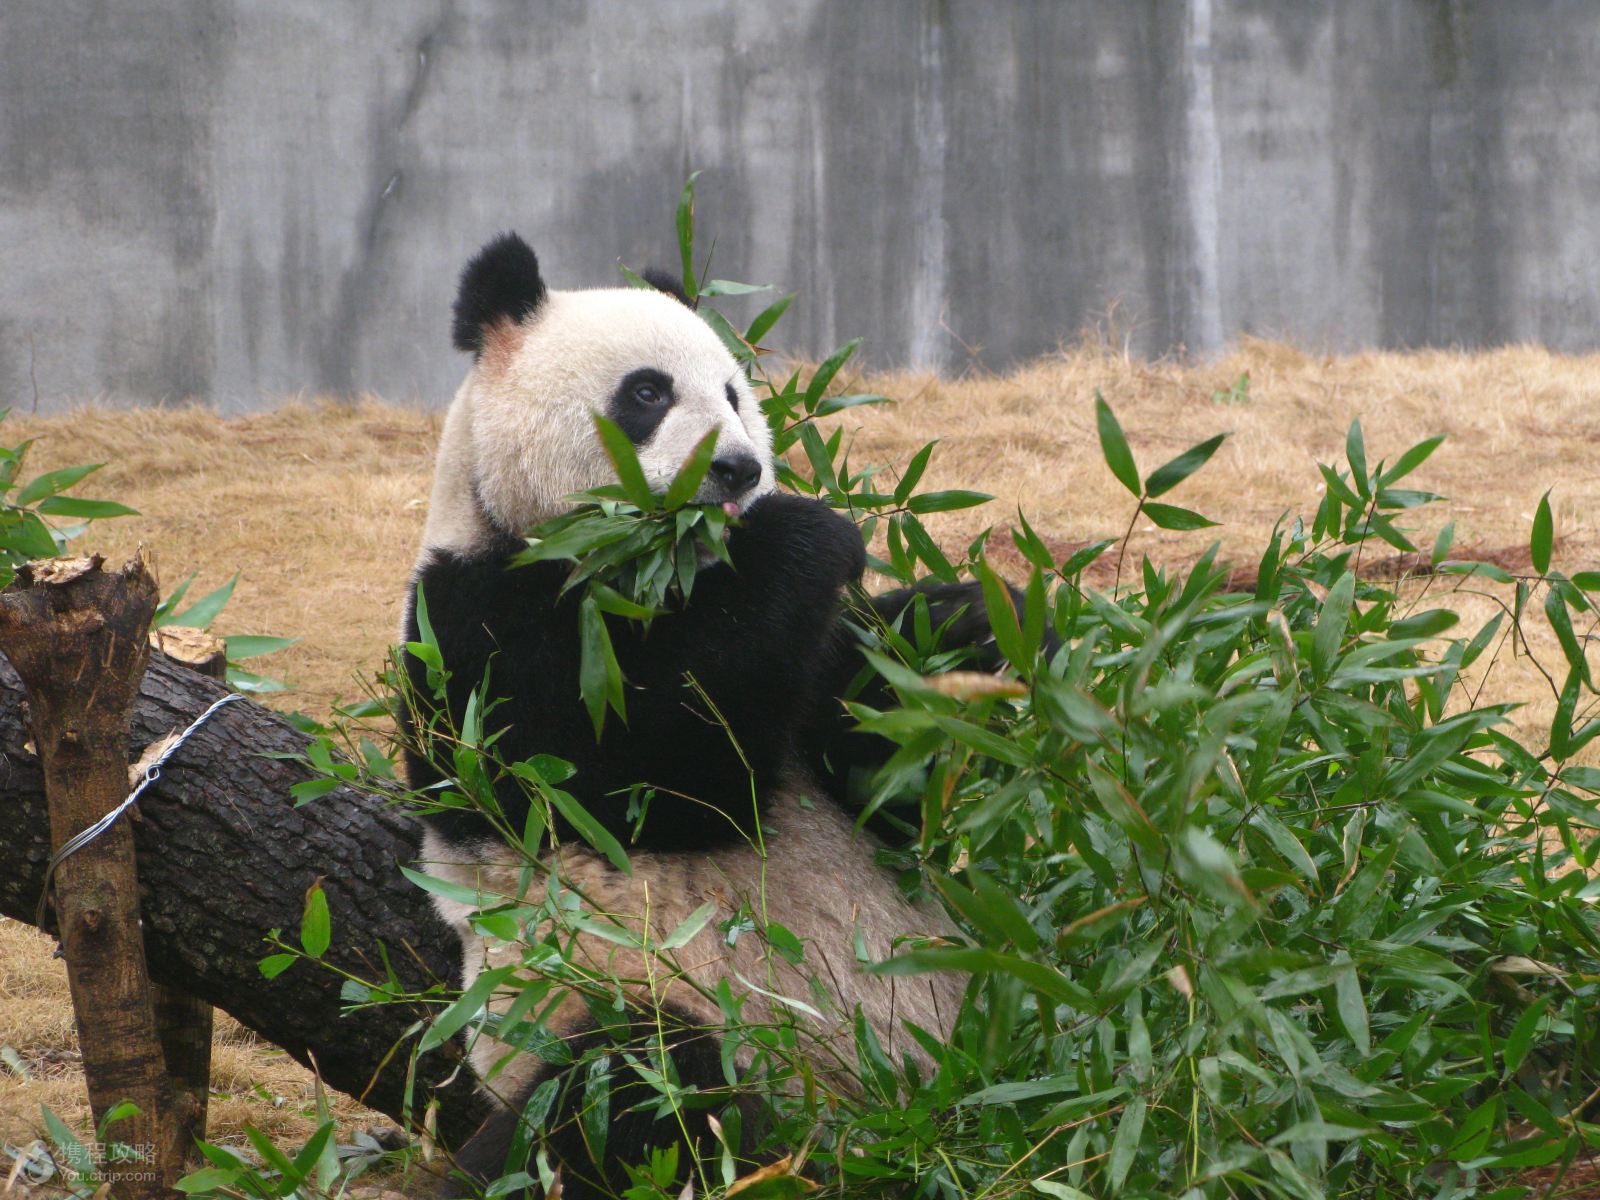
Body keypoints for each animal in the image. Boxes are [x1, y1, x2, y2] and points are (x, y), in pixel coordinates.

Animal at [403, 235, 998, 1200]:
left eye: (733, 394)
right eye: (647, 393)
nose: (738, 470)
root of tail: (877, 1130)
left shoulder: (808, 665)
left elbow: (870, 764)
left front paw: (975, 626)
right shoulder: (476, 634)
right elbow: (660, 771)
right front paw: (808, 536)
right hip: (611, 1019)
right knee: (635, 1086)